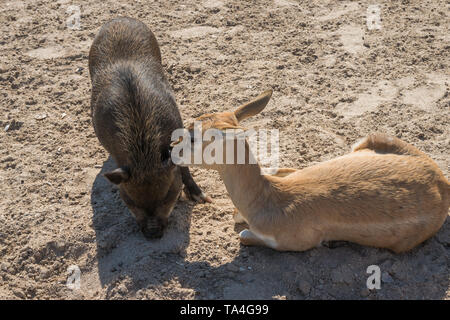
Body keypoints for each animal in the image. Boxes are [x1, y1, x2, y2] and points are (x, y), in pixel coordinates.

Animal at [88, 16, 211, 238]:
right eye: (131, 201)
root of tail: (119, 18)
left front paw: (202, 198)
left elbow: (183, 165)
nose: (153, 234)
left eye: (167, 196)